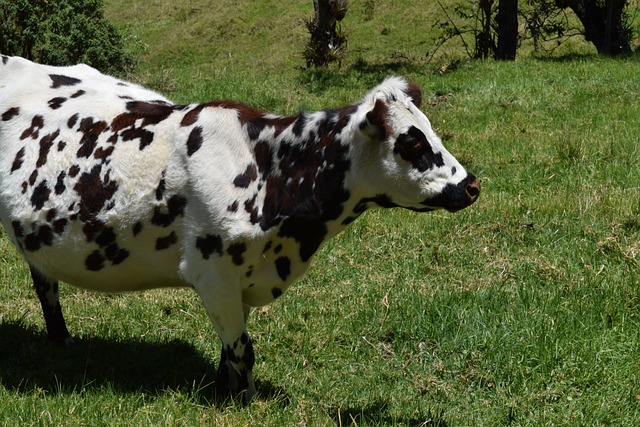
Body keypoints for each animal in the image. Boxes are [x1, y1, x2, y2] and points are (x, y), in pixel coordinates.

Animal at [0, 54, 478, 404]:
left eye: (431, 130)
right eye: (412, 142)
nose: (471, 185)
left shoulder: (243, 274)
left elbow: (233, 348)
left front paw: (226, 390)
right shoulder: (212, 272)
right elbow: (242, 348)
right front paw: (242, 401)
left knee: (44, 283)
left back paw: (62, 341)